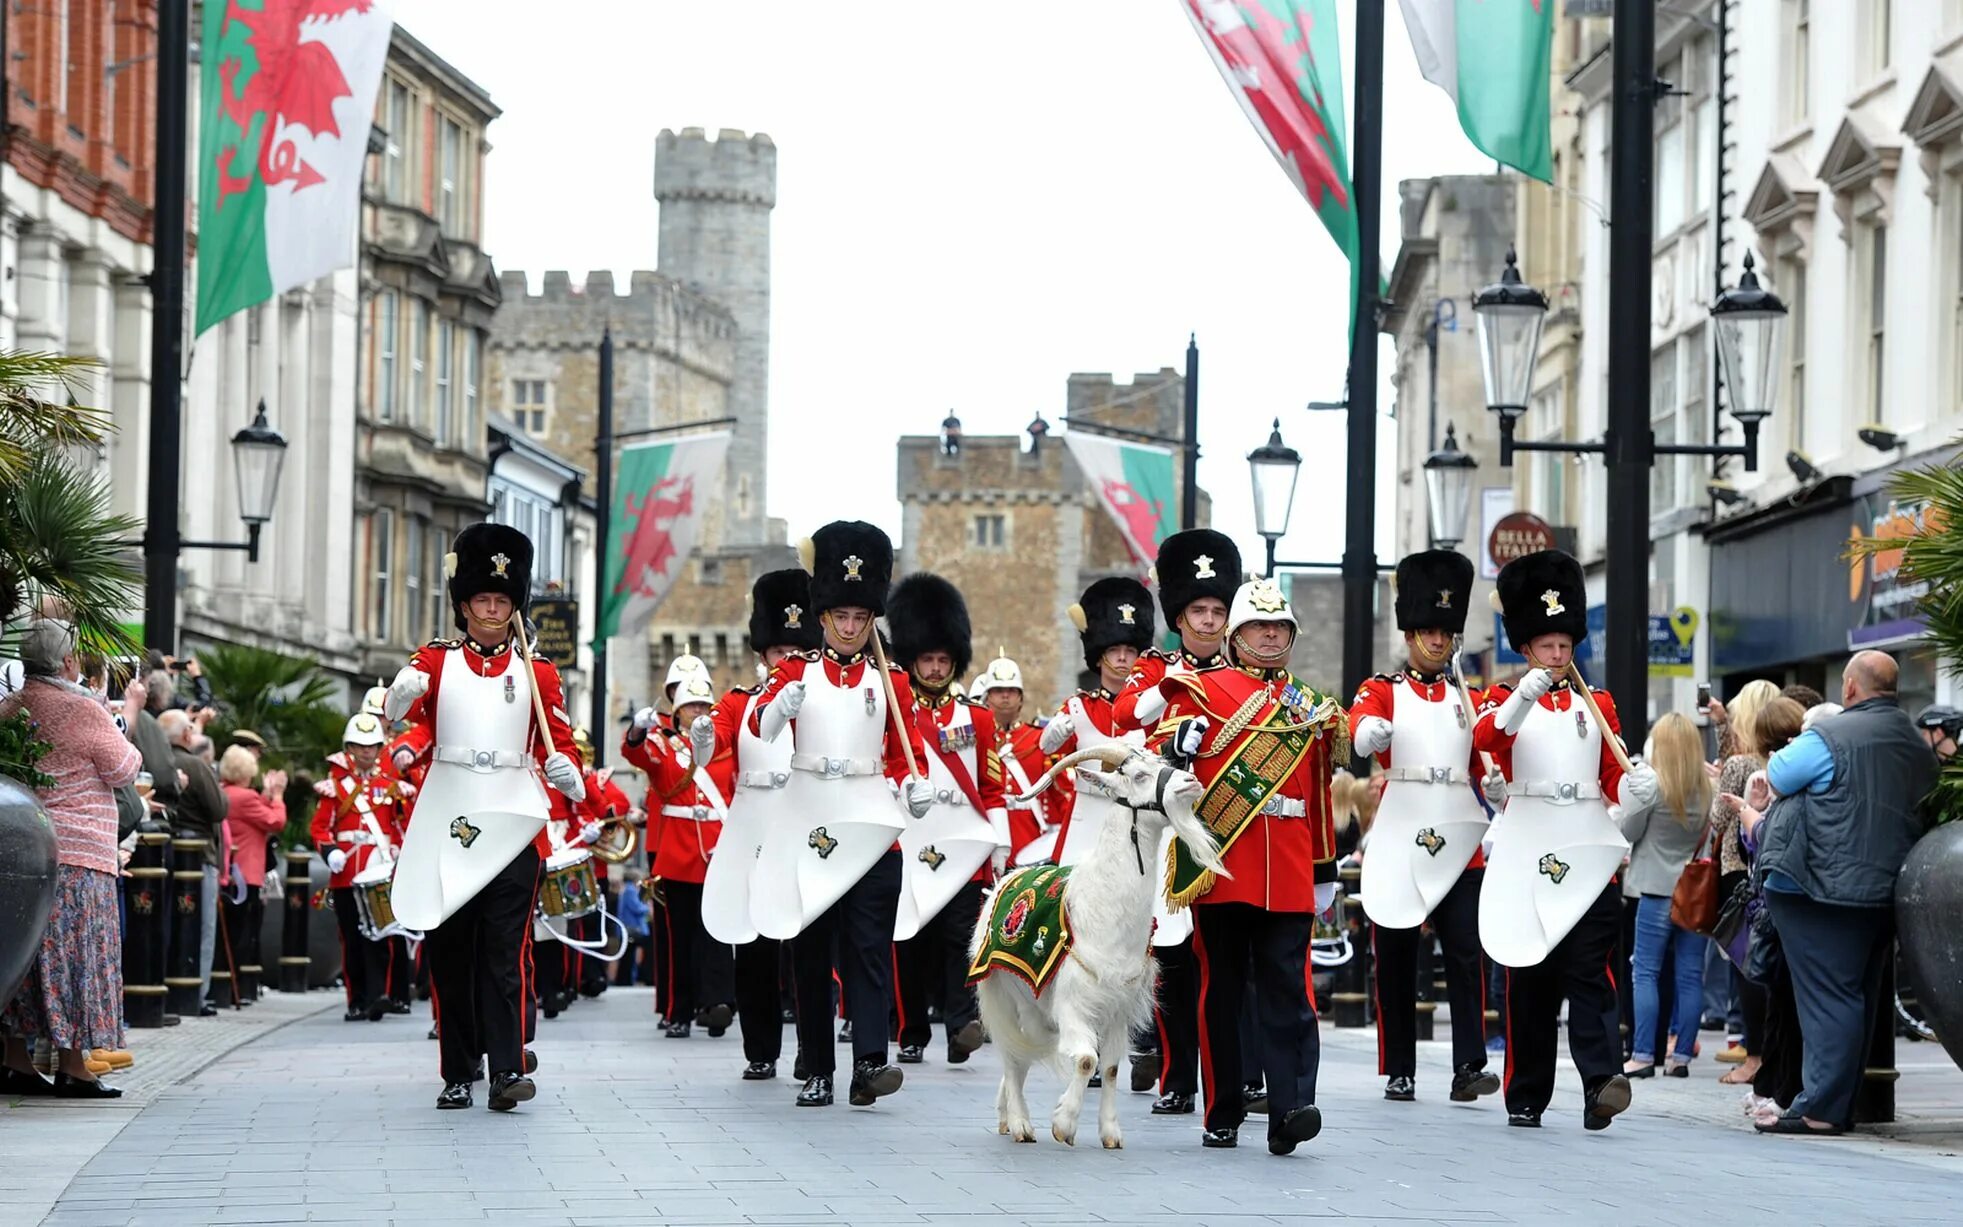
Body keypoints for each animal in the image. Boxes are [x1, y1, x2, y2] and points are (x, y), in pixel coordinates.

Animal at [969, 742, 1224, 1154]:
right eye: (1139, 775)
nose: (1191, 781)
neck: (1103, 908)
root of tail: (1004, 881)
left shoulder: (1118, 1008)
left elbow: (1111, 1068)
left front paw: (1110, 1133)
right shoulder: (1073, 1004)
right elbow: (1087, 1060)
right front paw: (1063, 1124)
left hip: (1037, 1009)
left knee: (1021, 1055)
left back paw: (1007, 1116)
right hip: (1003, 995)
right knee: (1012, 1054)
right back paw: (1022, 1123)